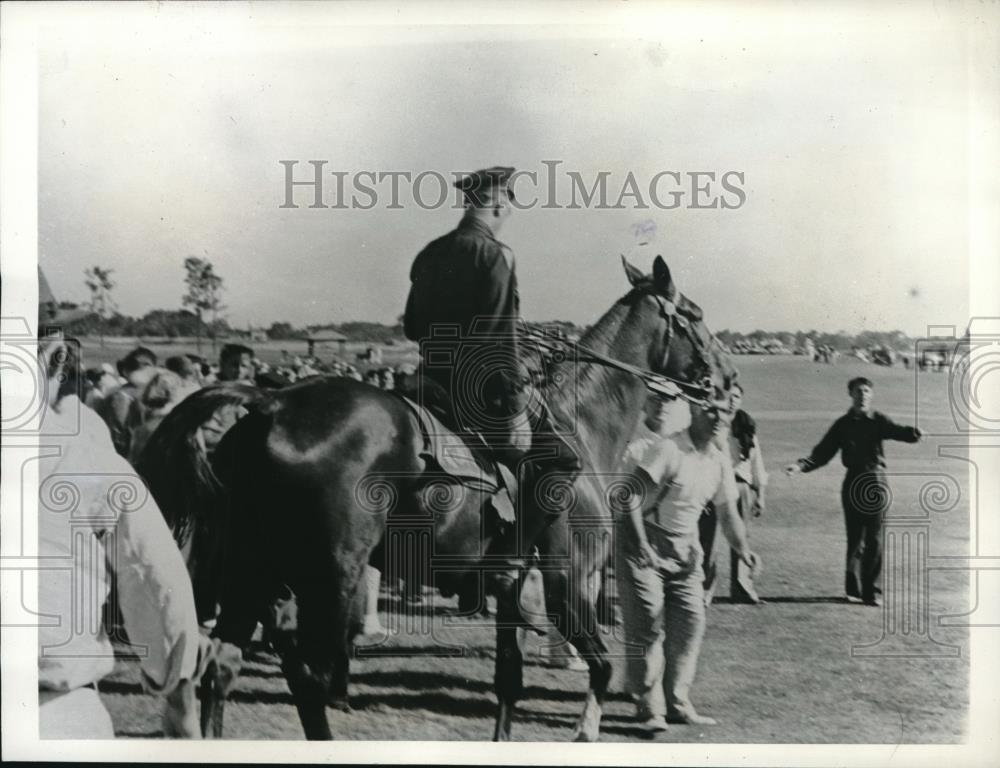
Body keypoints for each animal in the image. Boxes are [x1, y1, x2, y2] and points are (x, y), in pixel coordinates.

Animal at [139, 256, 736, 736]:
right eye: (696, 315)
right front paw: (586, 731)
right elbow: (602, 666)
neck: (581, 424)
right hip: (326, 575)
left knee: (223, 664)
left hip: (253, 568)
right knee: (308, 674)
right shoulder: (569, 580)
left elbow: (509, 681)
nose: (728, 377)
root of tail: (271, 403)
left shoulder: (512, 589)